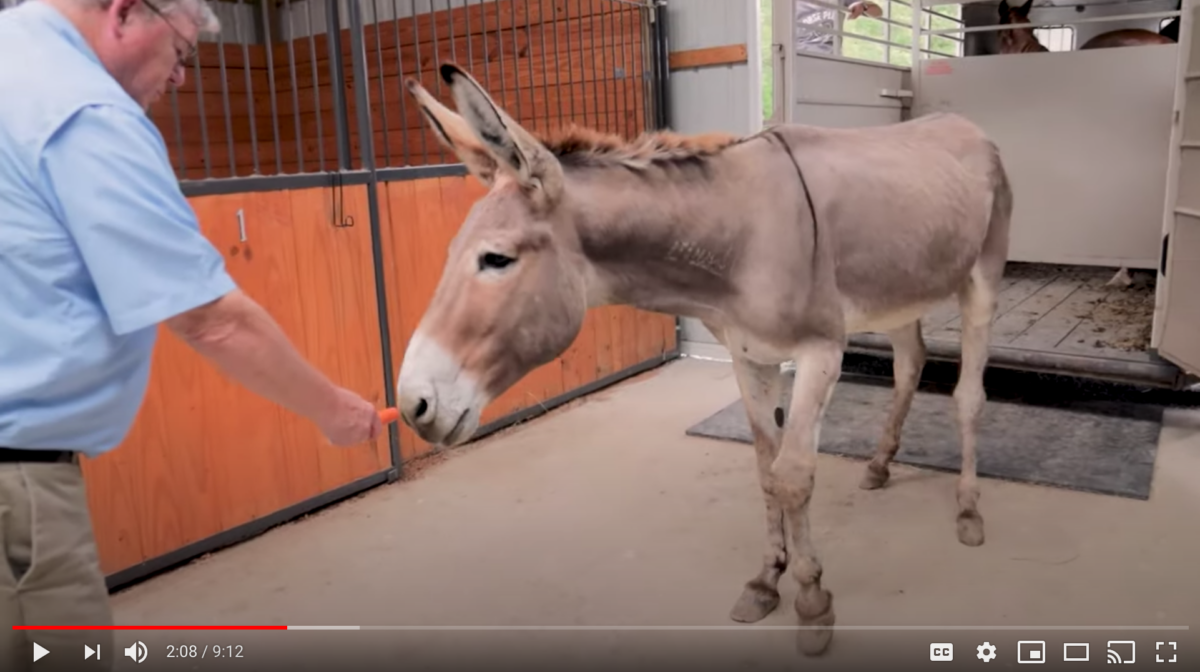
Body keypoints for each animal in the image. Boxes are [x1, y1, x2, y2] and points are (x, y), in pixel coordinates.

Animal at [394, 62, 1013, 656]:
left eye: (496, 259)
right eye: (451, 253)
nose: (412, 404)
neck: (739, 240)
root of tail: (966, 125)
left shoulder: (820, 353)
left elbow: (793, 476)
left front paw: (813, 601)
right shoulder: (749, 357)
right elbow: (765, 471)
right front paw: (766, 581)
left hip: (981, 279)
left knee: (969, 397)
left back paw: (968, 510)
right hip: (899, 293)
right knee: (910, 363)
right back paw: (881, 465)